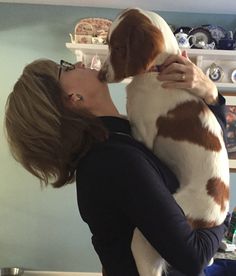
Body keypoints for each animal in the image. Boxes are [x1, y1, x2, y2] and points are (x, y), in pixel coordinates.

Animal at [97, 7, 229, 274]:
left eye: (117, 47)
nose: (100, 75)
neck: (156, 71)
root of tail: (220, 213)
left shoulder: (144, 134)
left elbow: (126, 127)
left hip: (154, 230)